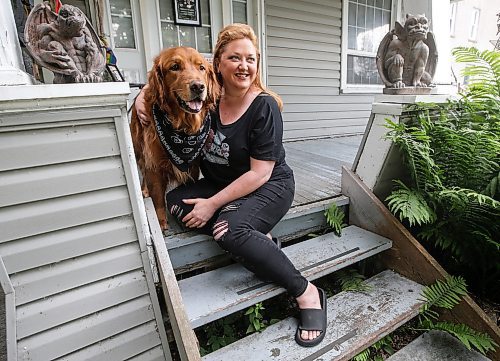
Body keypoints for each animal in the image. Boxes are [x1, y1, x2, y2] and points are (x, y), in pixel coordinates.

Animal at [131, 47, 219, 228]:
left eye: (202, 68)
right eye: (175, 67)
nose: (198, 87)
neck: (182, 128)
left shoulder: (192, 164)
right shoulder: (154, 164)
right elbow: (158, 197)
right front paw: (161, 222)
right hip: (139, 150)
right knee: (142, 168)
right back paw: (144, 190)